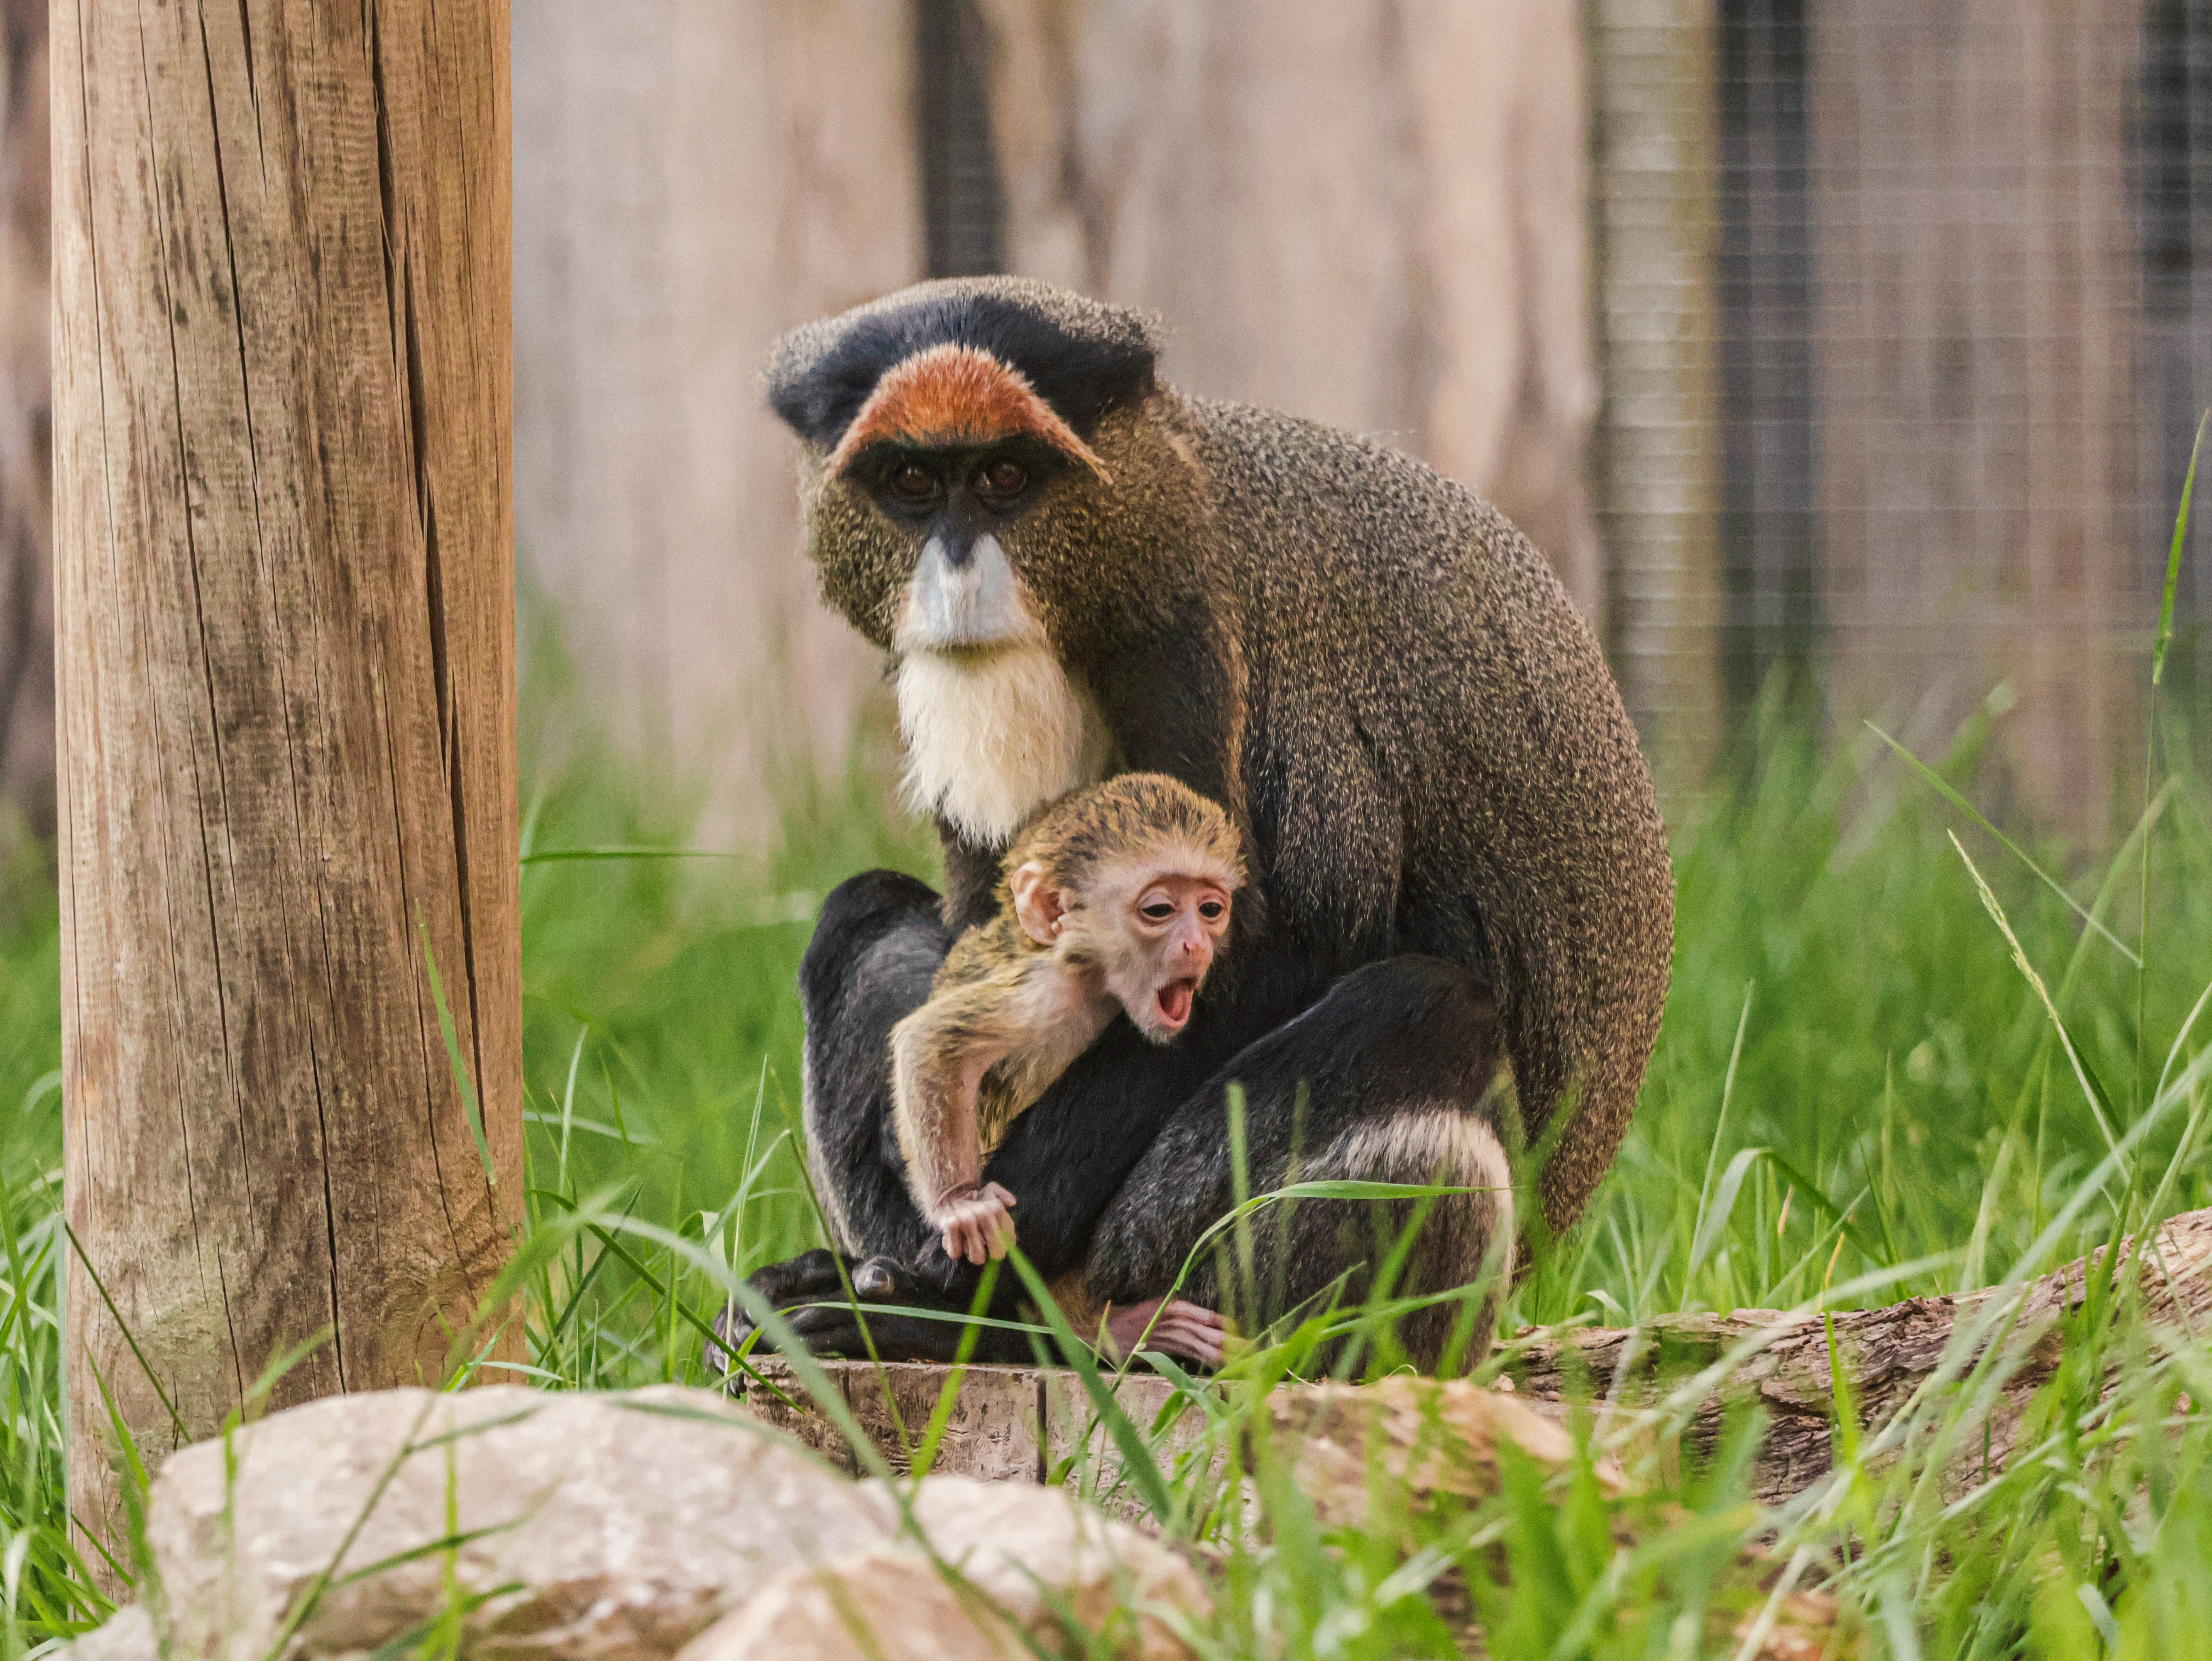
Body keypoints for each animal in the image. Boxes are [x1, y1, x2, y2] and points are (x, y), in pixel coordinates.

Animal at [890, 774, 1243, 1366]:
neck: (1099, 984)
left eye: (1211, 909)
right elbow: (928, 1043)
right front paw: (959, 1204)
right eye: (1160, 910)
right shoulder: (1050, 992)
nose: (1197, 943)